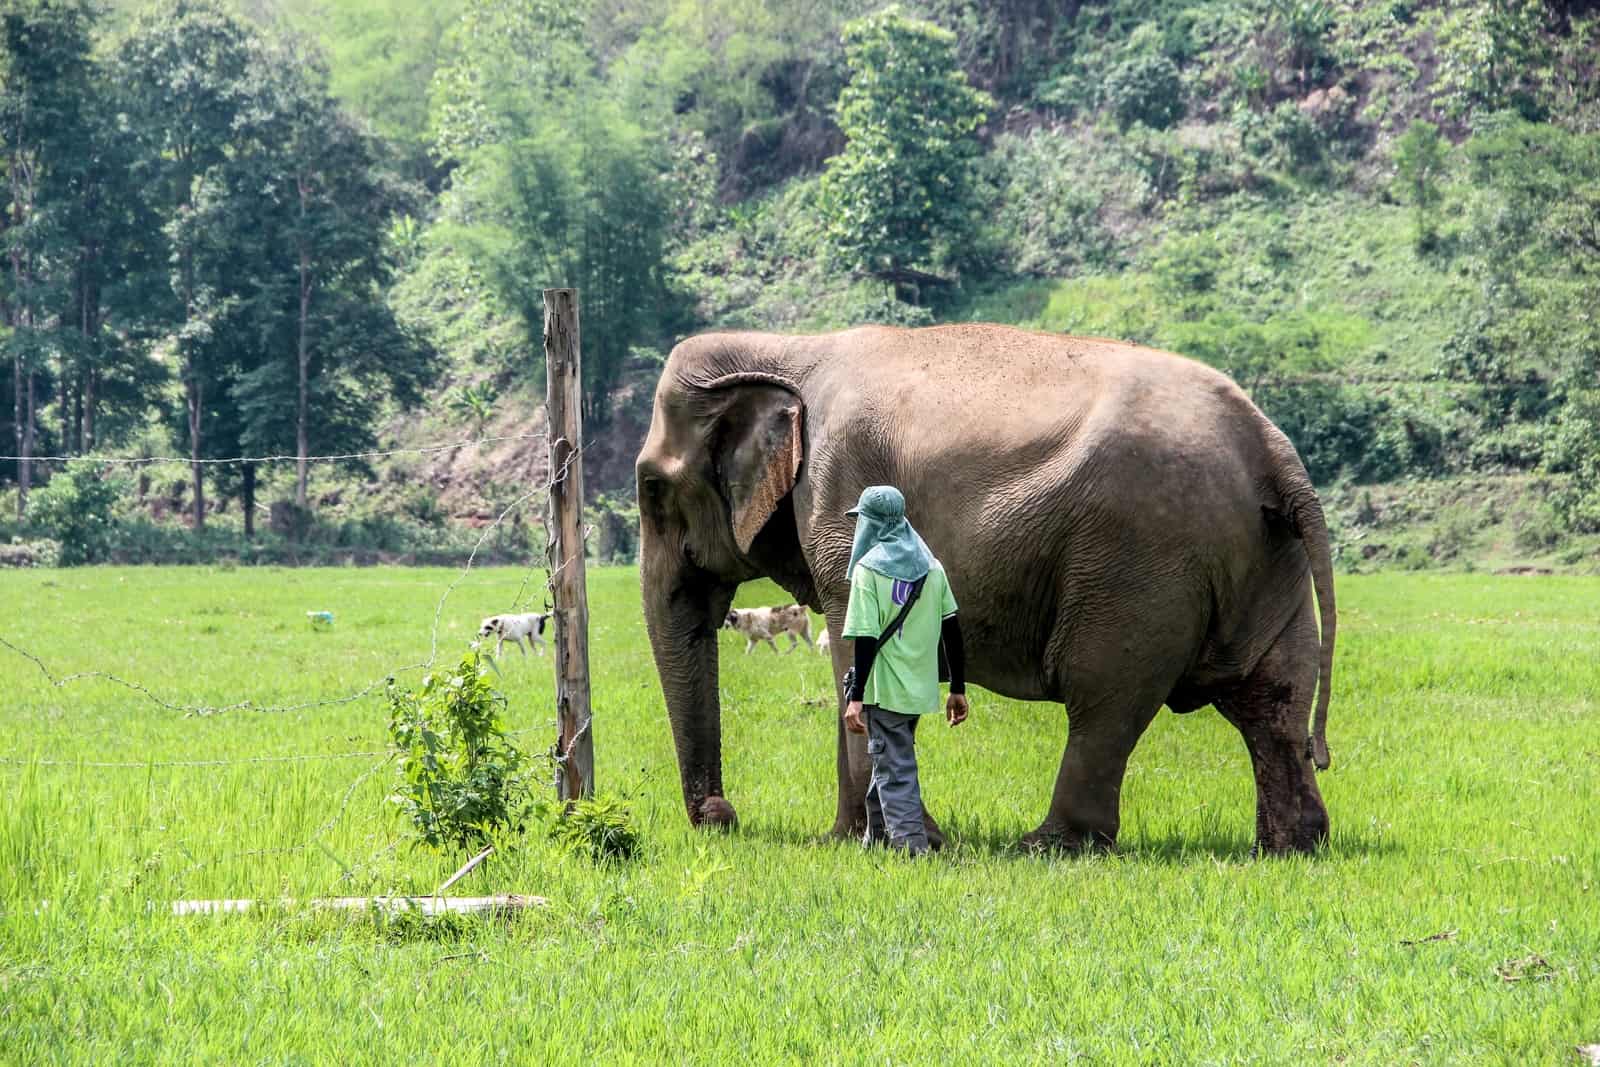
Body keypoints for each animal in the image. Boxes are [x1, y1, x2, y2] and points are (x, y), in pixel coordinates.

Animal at [630, 321, 1331, 857]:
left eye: (650, 488)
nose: (722, 817)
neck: (786, 346)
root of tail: (1272, 448)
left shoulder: (836, 497)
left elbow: (856, 648)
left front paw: (887, 844)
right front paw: (854, 840)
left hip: (1141, 563)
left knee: (1104, 696)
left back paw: (1049, 846)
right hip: (1263, 560)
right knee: (1272, 697)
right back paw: (1289, 847)